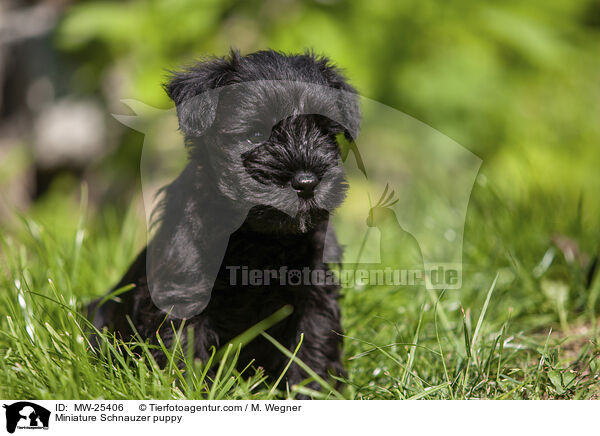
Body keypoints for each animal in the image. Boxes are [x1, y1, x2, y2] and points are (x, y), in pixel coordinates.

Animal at [90, 49, 360, 394]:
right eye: (255, 134)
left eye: (324, 132)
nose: (307, 182)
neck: (261, 238)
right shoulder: (184, 291)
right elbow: (183, 350)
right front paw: (189, 391)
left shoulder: (315, 292)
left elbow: (311, 343)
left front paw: (310, 392)